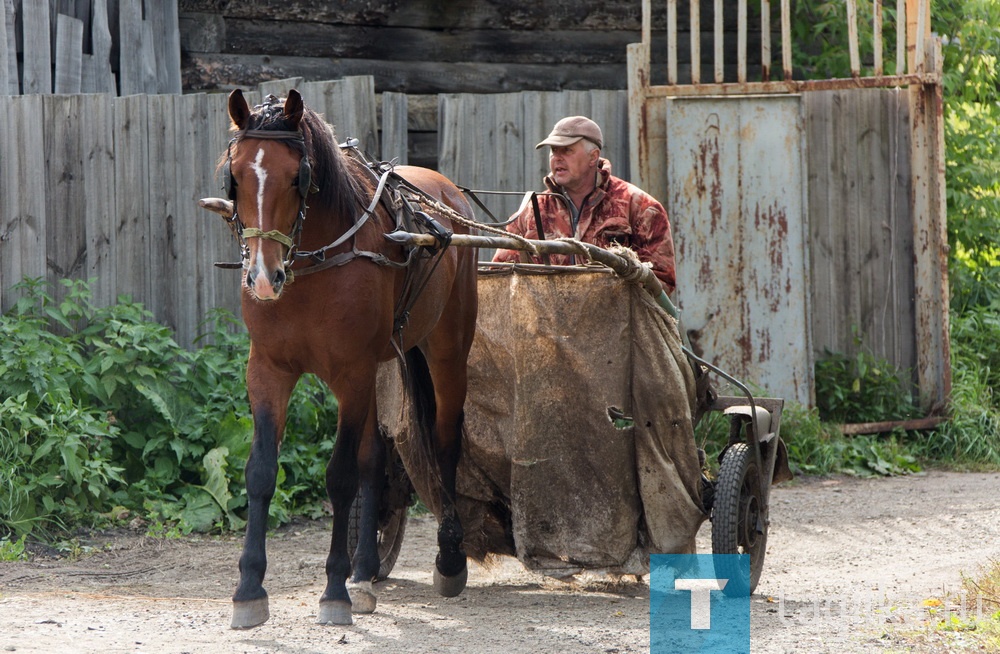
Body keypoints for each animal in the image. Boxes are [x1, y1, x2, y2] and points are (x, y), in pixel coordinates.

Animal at [214, 89, 476, 628]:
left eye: (298, 177)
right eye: (236, 175)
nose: (264, 277)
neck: (313, 265)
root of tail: (448, 194)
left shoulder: (352, 374)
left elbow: (340, 476)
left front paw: (333, 590)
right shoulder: (268, 371)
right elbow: (261, 472)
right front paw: (249, 589)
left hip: (445, 352)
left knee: (445, 442)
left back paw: (449, 556)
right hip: (383, 365)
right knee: (376, 457)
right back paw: (365, 571)